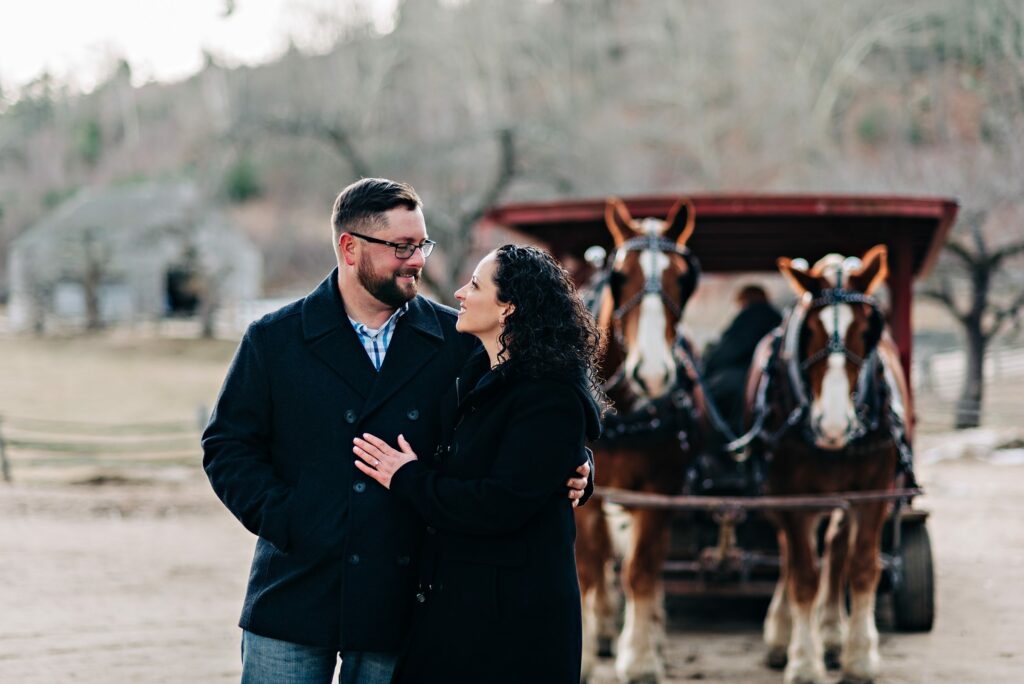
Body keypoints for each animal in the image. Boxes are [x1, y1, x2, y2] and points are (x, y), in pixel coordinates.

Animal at [577, 197, 704, 684]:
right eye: (618, 276)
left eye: (684, 280)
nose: (652, 375)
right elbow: (590, 567)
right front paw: (585, 652)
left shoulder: (659, 491)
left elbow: (641, 569)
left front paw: (641, 658)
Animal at [753, 246, 913, 684]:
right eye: (808, 332)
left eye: (868, 332)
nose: (834, 425)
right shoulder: (793, 498)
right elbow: (803, 577)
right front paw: (804, 661)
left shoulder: (874, 493)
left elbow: (861, 567)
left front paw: (859, 657)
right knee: (790, 558)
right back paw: (783, 632)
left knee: (837, 549)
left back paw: (831, 632)